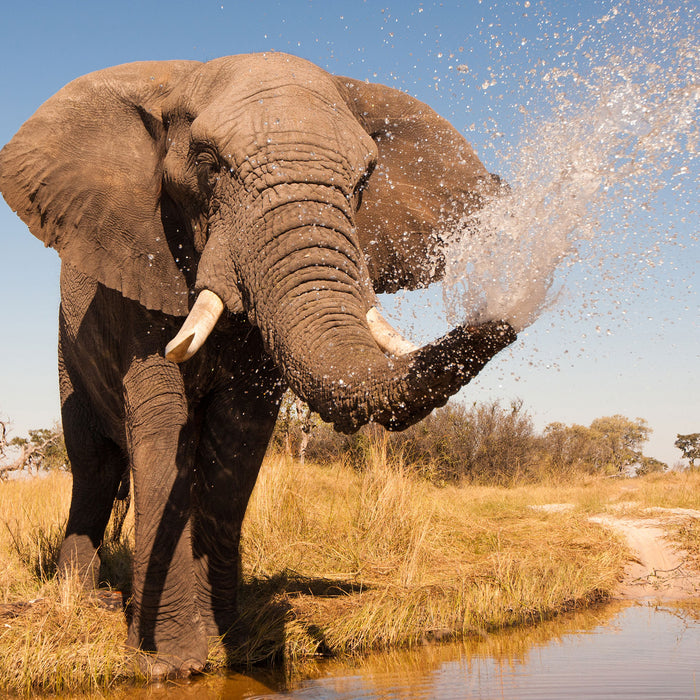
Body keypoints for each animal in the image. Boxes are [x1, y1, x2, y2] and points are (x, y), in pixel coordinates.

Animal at [0, 52, 516, 676]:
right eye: (208, 164)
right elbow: (161, 424)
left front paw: (235, 645)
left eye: (364, 180)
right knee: (93, 466)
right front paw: (169, 664)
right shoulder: (139, 268)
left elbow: (238, 436)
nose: (506, 313)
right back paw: (77, 597)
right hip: (66, 351)